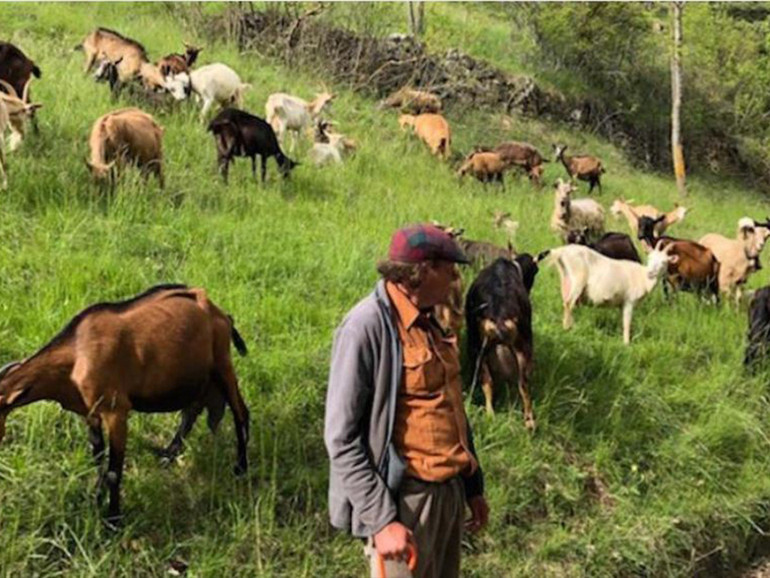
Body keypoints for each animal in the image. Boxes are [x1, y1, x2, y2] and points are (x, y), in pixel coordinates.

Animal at [0, 284, 249, 520]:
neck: (77, 352)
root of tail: (221, 314)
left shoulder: (116, 411)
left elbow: (113, 472)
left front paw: (113, 519)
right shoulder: (90, 412)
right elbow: (97, 457)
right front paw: (96, 498)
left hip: (222, 364)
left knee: (240, 412)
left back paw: (240, 468)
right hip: (197, 377)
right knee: (191, 411)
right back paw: (168, 455)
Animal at [464, 253, 536, 428]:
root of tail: (498, 313)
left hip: (477, 346)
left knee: (487, 380)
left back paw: (490, 416)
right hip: (524, 344)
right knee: (523, 383)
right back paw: (530, 422)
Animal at [536, 242, 668, 344]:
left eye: (664, 262)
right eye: (649, 258)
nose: (650, 273)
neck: (642, 277)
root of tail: (561, 251)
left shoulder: (621, 304)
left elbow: (622, 321)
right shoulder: (629, 301)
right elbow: (627, 323)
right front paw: (626, 344)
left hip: (566, 280)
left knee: (565, 303)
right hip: (578, 278)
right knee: (569, 303)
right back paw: (568, 329)